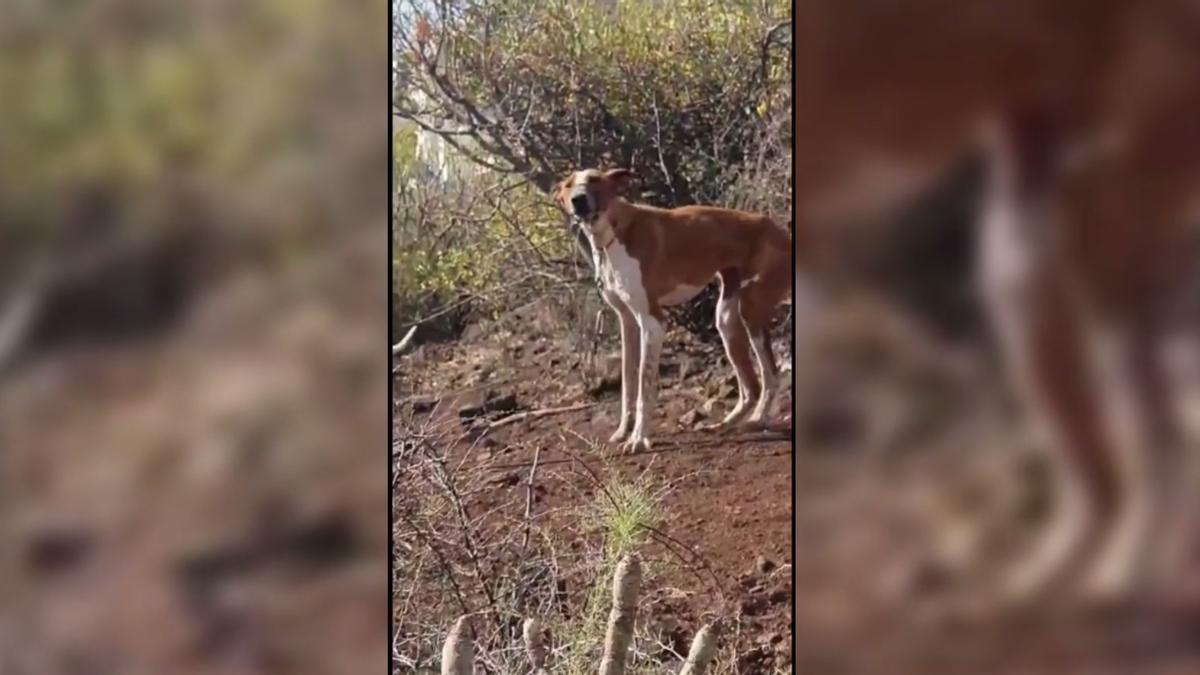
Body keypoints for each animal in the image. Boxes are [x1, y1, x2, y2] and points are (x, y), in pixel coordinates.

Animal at [554, 166, 796, 451]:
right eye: (568, 185)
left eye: (593, 180)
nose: (578, 200)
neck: (611, 235)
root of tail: (780, 230)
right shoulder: (628, 323)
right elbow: (628, 385)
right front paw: (624, 431)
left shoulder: (653, 322)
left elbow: (645, 385)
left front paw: (639, 438)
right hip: (726, 318)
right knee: (751, 387)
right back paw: (728, 424)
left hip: (751, 308)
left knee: (771, 375)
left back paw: (757, 421)